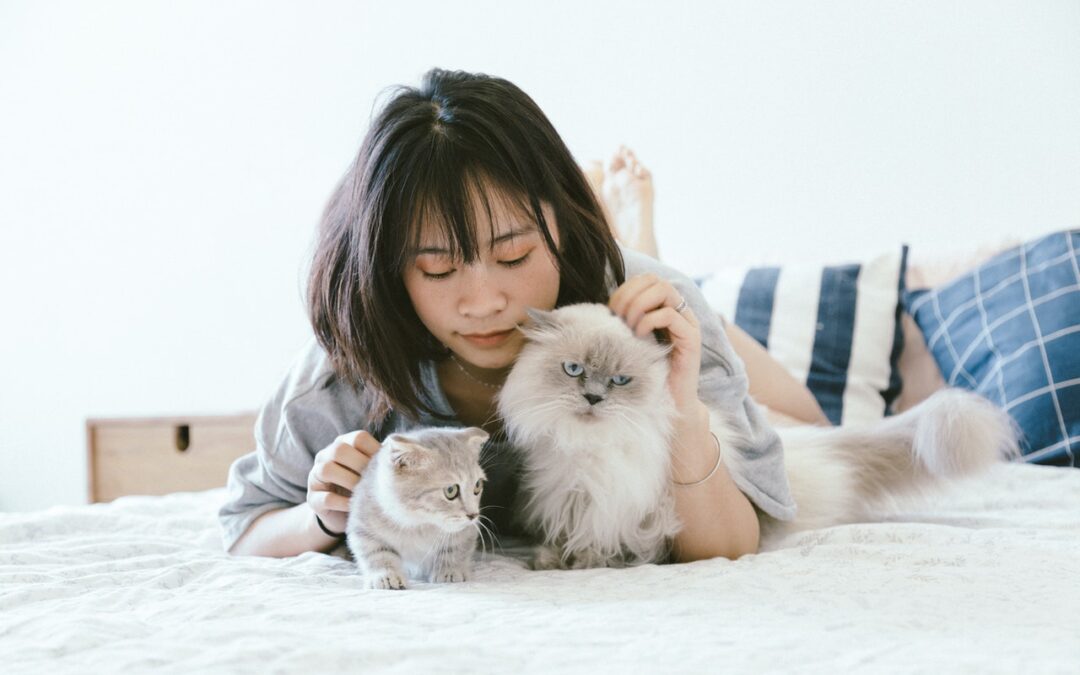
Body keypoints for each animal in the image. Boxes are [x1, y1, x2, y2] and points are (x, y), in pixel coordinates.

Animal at [347, 425, 488, 587]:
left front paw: (450, 571)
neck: (420, 523)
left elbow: (455, 549)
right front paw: (386, 576)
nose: (473, 515)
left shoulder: (467, 531)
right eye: (451, 490)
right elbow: (376, 552)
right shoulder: (363, 522)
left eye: (477, 486)